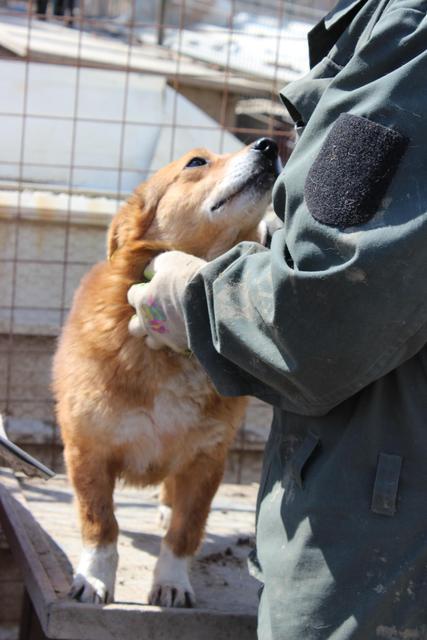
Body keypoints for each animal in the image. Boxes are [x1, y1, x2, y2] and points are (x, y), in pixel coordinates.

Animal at [51, 138, 280, 608]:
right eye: (197, 162)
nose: (269, 145)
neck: (175, 353)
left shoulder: (206, 462)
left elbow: (185, 532)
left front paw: (172, 582)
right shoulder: (87, 449)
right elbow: (100, 523)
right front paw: (94, 577)